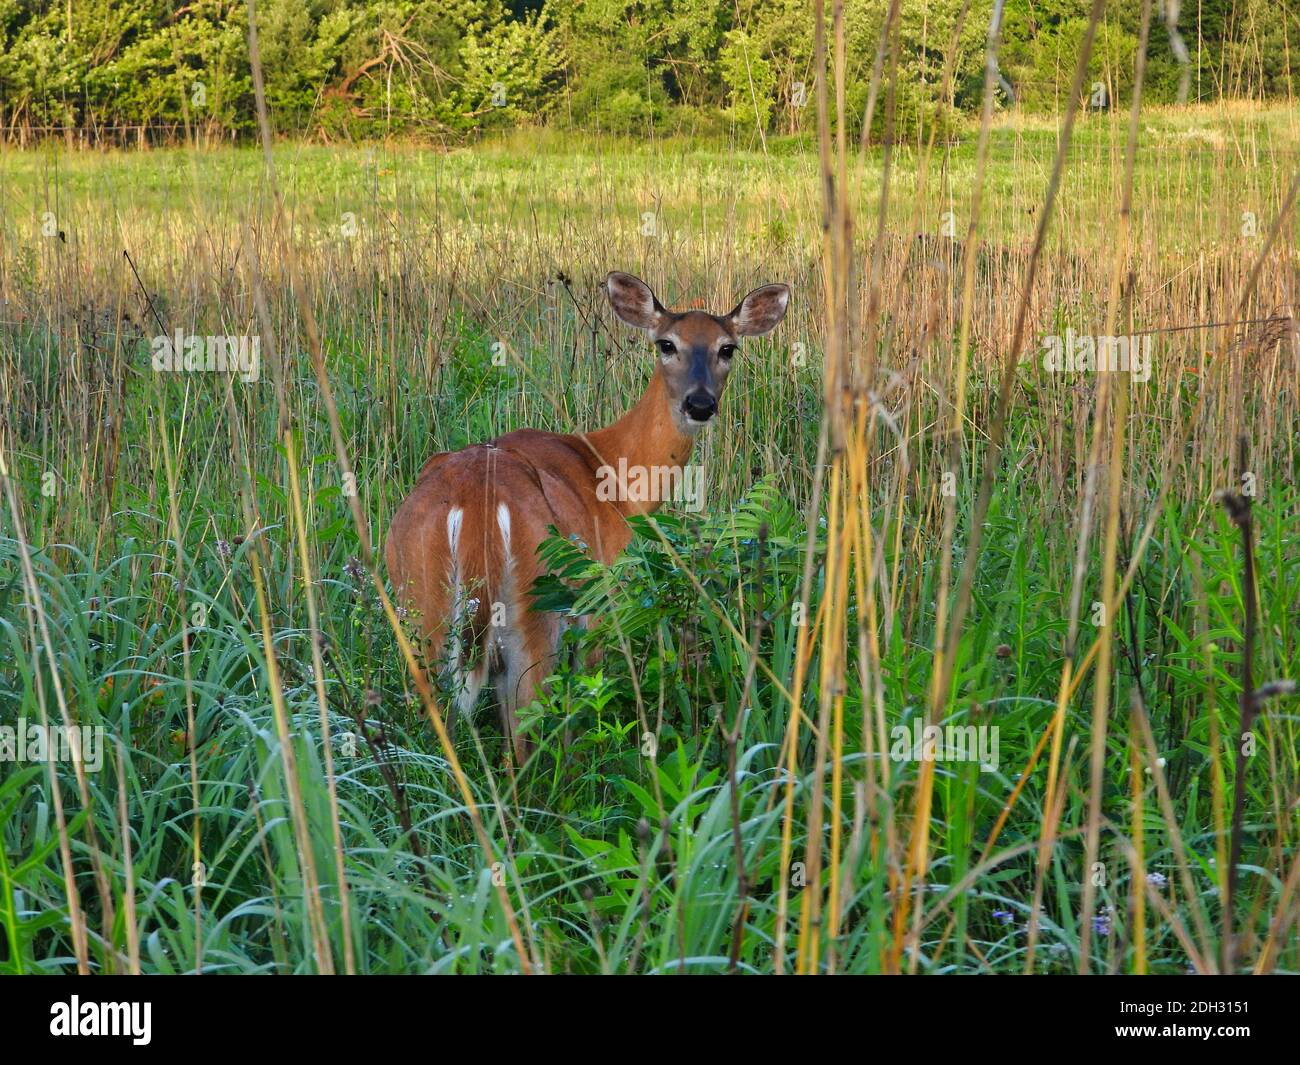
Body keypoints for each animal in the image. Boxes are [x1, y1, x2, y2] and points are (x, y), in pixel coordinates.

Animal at [385, 271, 790, 764]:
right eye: (666, 344)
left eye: (727, 347)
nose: (700, 404)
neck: (613, 476)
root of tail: (475, 501)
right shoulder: (604, 596)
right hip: (534, 608)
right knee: (523, 730)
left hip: (417, 603)